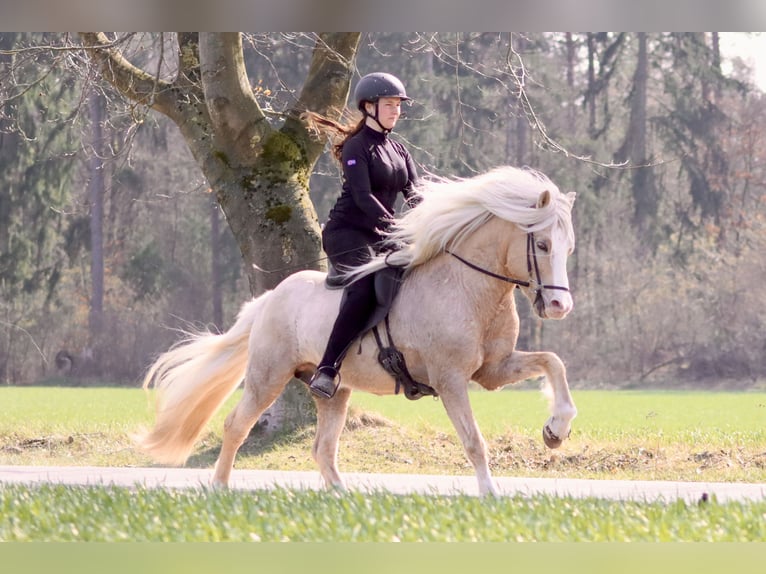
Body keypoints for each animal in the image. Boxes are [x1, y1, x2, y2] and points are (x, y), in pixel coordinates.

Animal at [137, 165, 578, 497]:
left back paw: (343, 499)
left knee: (322, 448)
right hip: (268, 376)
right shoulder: (450, 379)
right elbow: (473, 441)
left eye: (568, 248)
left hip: (334, 391)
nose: (560, 307)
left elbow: (553, 363)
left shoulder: (493, 370)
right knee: (236, 425)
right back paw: (219, 487)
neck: (468, 286)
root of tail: (270, 298)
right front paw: (490, 495)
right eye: (541, 245)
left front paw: (555, 431)